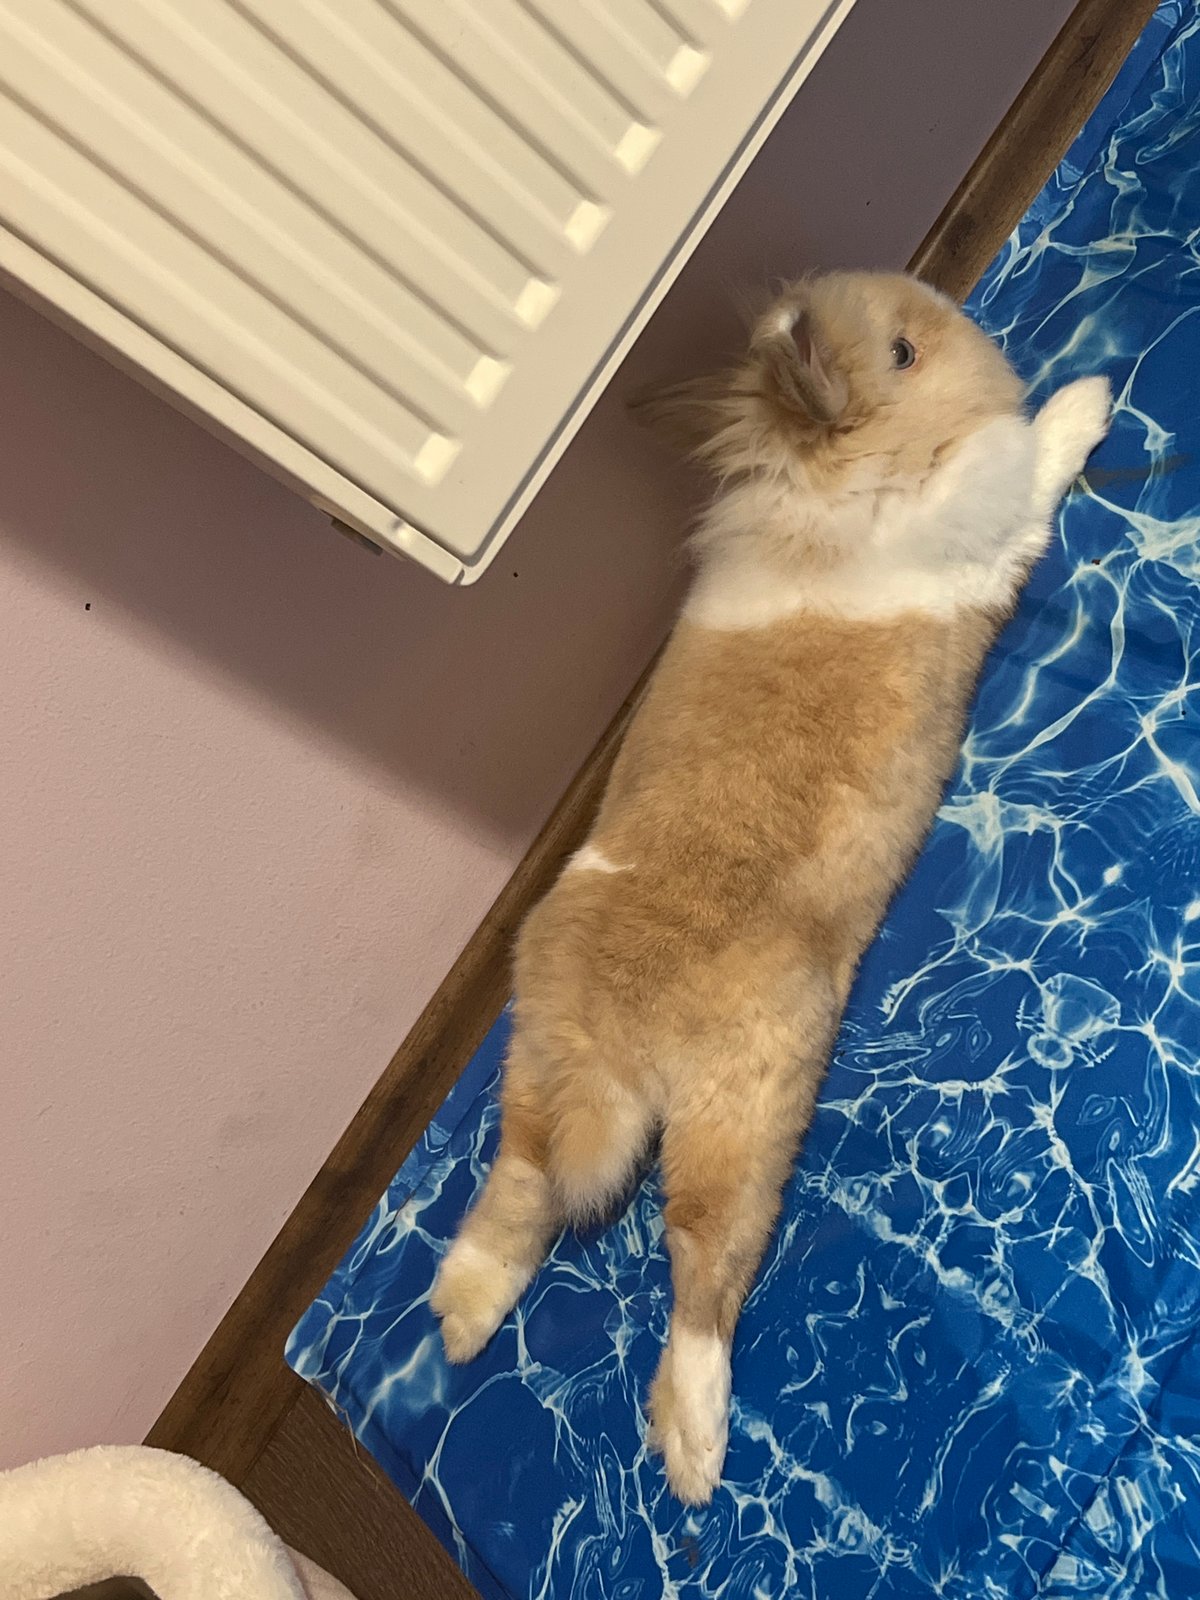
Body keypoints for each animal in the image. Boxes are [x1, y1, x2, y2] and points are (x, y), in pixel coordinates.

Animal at [431, 270, 1112, 1505]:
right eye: (900, 352)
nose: (947, 316)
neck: (825, 471)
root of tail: (621, 1046)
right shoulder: (986, 523)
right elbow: (1031, 463)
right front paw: (1085, 399)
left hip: (537, 1061)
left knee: (524, 1179)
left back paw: (460, 1317)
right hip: (750, 1113)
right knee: (701, 1267)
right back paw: (695, 1448)